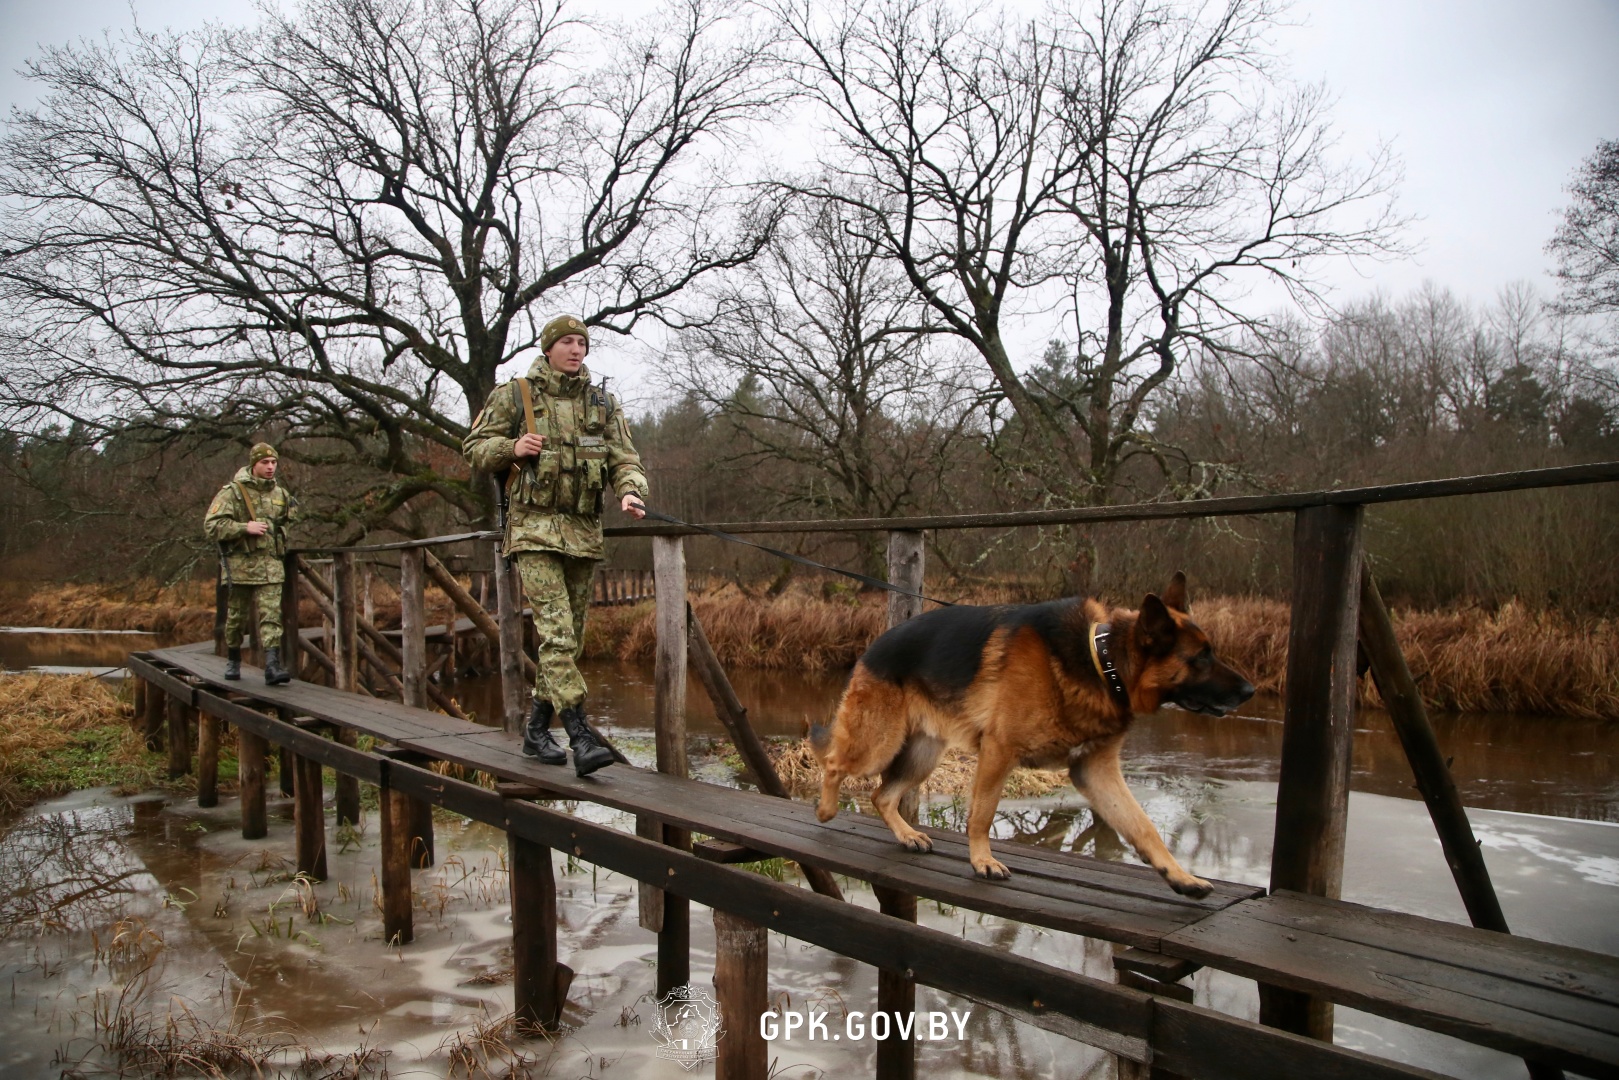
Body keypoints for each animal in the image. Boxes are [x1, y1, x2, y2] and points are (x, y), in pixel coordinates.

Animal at [809, 573, 1249, 893]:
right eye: (1200, 659)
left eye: (1211, 652)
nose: (1250, 691)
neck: (1099, 661)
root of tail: (872, 648)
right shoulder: (999, 751)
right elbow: (982, 815)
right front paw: (982, 861)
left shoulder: (1097, 771)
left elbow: (1142, 826)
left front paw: (1180, 876)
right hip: (878, 743)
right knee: (834, 762)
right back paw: (826, 809)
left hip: (922, 754)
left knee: (881, 795)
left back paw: (906, 835)